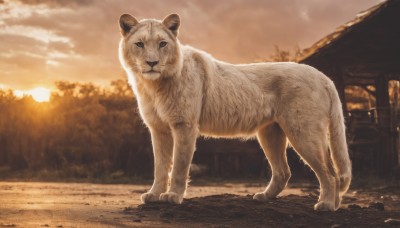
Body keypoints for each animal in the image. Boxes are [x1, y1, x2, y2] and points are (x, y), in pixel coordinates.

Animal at [118, 13, 350, 211]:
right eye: (139, 44)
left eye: (162, 44)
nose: (152, 63)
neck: (153, 85)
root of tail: (323, 76)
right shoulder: (158, 129)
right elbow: (160, 166)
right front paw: (153, 194)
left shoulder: (184, 125)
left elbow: (179, 166)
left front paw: (173, 196)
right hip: (270, 133)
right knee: (284, 171)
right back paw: (268, 198)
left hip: (303, 132)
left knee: (330, 173)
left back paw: (326, 206)